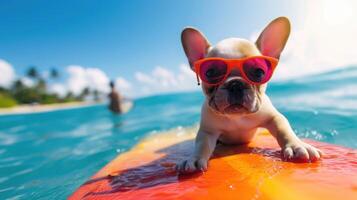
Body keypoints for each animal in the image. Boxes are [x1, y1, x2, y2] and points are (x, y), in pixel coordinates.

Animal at [177, 16, 322, 173]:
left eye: (259, 72)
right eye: (210, 73)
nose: (235, 84)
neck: (237, 117)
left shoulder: (273, 117)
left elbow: (283, 130)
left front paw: (297, 145)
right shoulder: (208, 131)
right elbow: (201, 144)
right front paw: (194, 158)